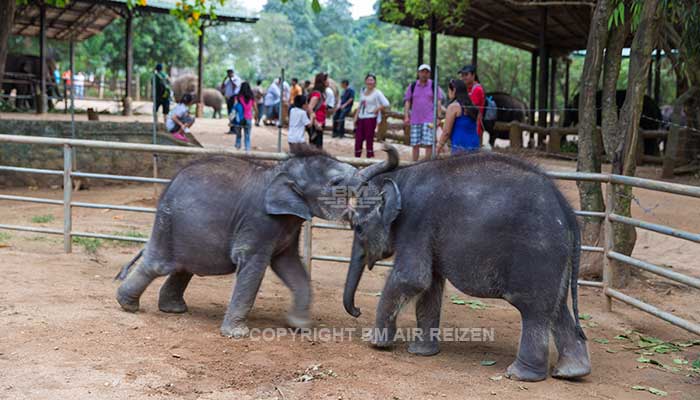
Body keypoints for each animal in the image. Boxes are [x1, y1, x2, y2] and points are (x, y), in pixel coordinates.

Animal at [344, 152, 592, 382]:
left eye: (357, 227)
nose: (357, 311)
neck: (400, 175)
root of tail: (568, 213)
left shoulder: (416, 224)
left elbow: (412, 278)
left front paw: (375, 343)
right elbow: (430, 286)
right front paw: (421, 353)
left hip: (538, 255)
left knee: (534, 310)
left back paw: (519, 375)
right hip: (557, 260)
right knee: (557, 308)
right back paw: (571, 372)